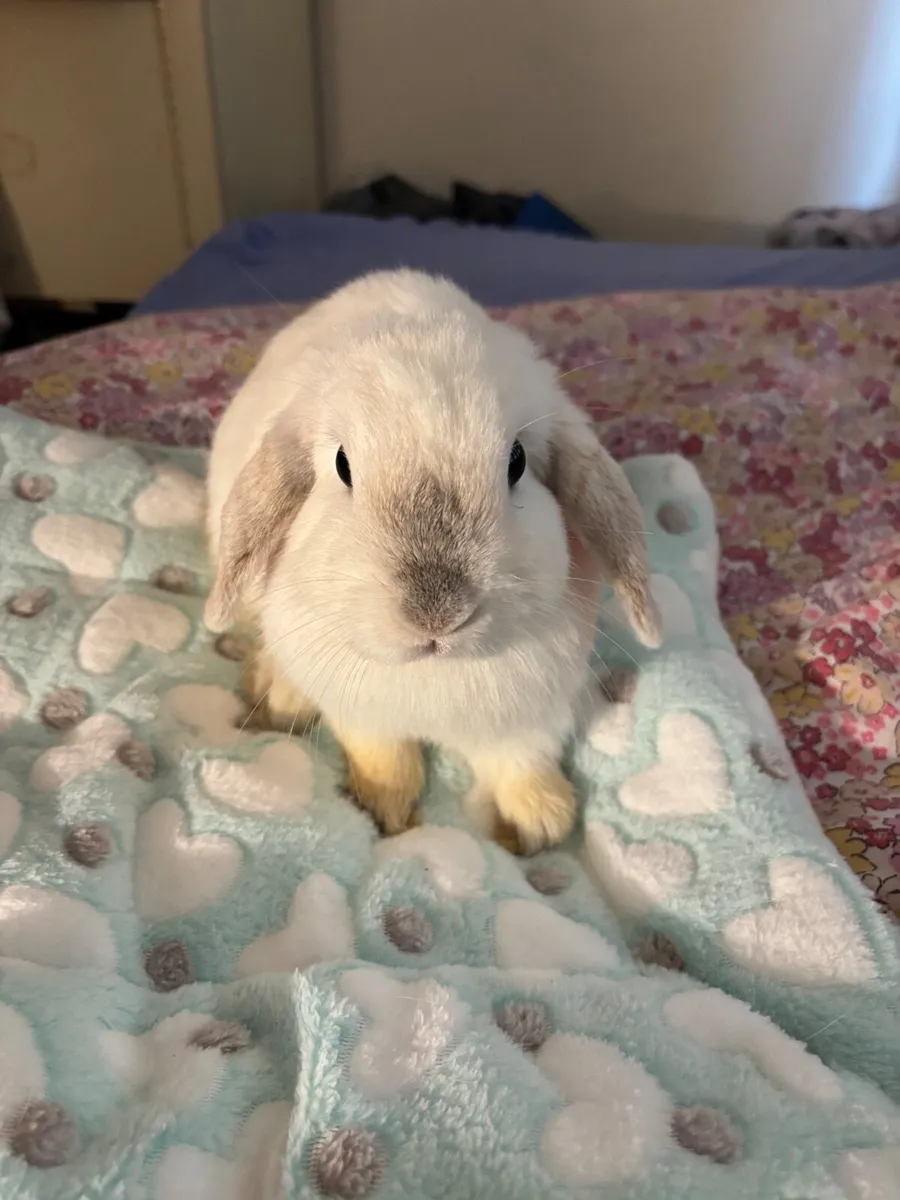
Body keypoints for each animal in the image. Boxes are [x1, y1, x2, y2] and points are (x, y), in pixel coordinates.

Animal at [205, 270, 660, 852]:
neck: (434, 673)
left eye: (517, 462)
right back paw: (279, 694)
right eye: (342, 465)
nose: (436, 613)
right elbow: (388, 761)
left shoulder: (530, 715)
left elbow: (521, 760)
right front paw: (386, 813)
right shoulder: (362, 714)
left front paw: (540, 821)